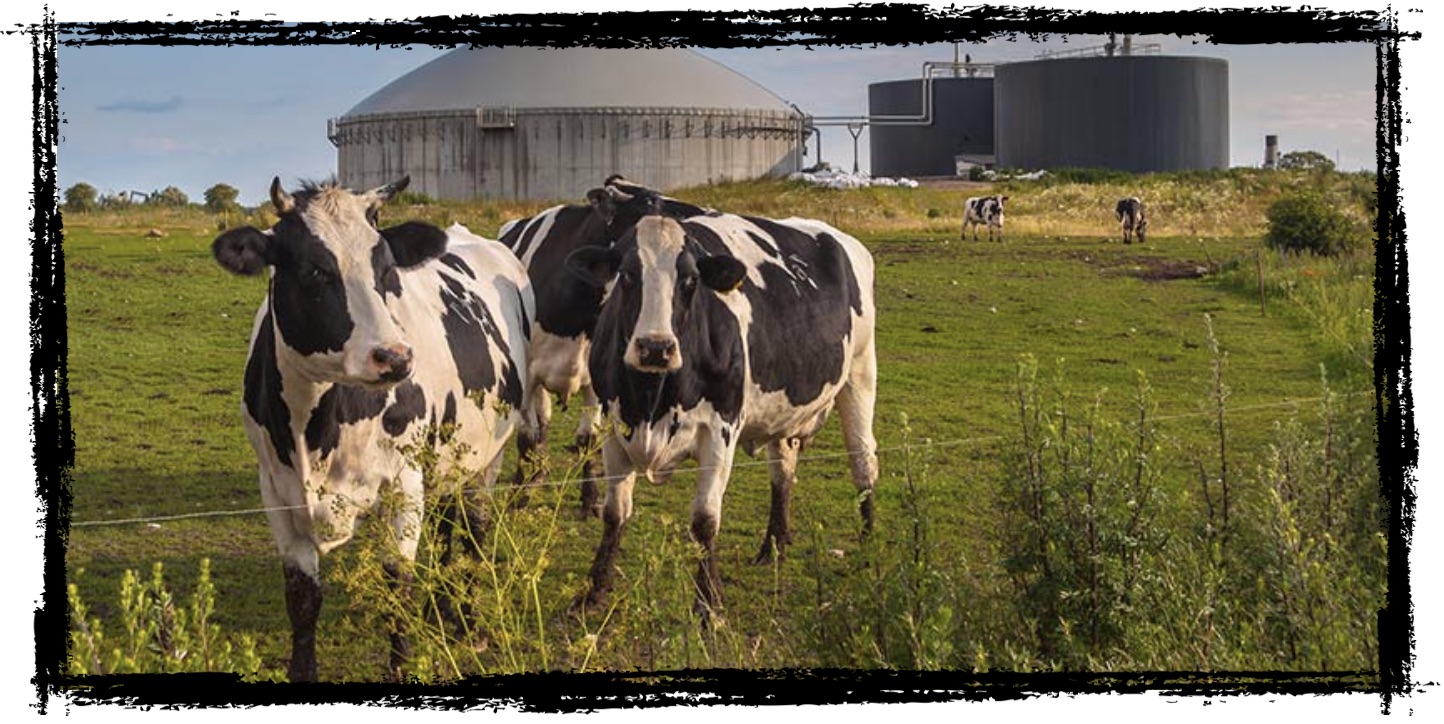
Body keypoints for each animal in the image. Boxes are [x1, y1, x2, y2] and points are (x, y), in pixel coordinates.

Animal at [211, 176, 533, 682]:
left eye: (386, 270)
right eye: (314, 270)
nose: (394, 357)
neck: (316, 430)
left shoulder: (403, 485)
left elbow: (396, 585)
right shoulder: (276, 492)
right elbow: (302, 597)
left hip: (489, 454)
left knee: (475, 527)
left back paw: (467, 620)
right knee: (446, 523)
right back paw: (441, 610)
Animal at [498, 176, 708, 517]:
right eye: (650, 201)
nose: (702, 215)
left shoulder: (596, 377)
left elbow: (588, 439)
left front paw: (591, 498)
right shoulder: (527, 374)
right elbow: (527, 435)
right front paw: (520, 494)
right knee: (539, 425)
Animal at [565, 198, 879, 619]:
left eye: (690, 281)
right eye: (628, 276)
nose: (655, 347)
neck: (652, 400)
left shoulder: (720, 431)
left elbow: (704, 520)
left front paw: (708, 603)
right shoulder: (616, 427)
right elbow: (615, 514)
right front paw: (594, 591)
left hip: (860, 373)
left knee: (863, 461)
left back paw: (868, 542)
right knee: (783, 473)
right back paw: (773, 546)